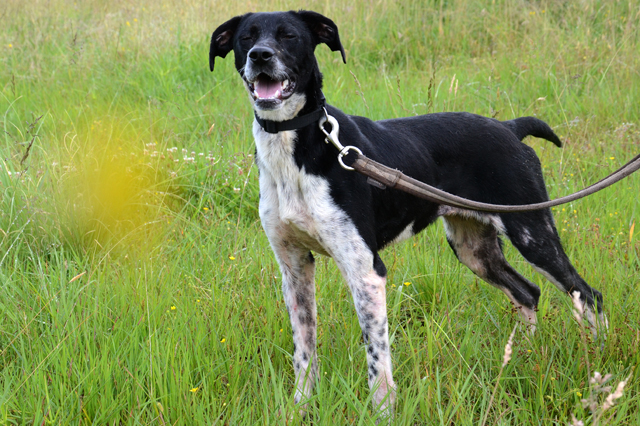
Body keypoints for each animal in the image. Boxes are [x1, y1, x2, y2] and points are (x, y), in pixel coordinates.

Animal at [209, 9, 604, 416]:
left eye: (289, 35)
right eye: (246, 37)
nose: (260, 56)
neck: (299, 147)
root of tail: (509, 128)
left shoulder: (366, 271)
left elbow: (377, 358)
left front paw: (382, 412)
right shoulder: (294, 267)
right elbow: (304, 352)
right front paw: (300, 408)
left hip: (532, 231)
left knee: (586, 294)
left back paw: (597, 359)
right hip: (474, 248)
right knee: (528, 292)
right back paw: (523, 356)